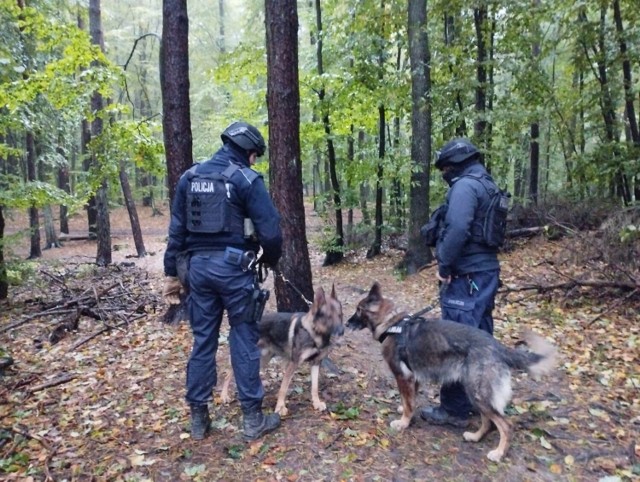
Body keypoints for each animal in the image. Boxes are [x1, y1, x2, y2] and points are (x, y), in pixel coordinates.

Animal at [220, 284, 342, 416]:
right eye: (328, 317)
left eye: (340, 315)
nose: (342, 331)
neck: (313, 332)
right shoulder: (293, 364)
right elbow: (283, 388)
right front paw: (280, 407)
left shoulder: (315, 363)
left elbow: (315, 387)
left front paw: (316, 403)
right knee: (228, 375)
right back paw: (224, 396)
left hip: (263, 359)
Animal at [344, 282, 556, 464]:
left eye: (358, 310)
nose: (346, 324)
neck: (393, 325)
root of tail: (498, 347)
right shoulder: (414, 378)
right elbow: (409, 400)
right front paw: (403, 410)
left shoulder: (403, 376)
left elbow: (408, 403)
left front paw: (403, 423)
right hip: (474, 393)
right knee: (488, 421)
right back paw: (475, 437)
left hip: (477, 393)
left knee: (505, 425)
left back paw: (498, 453)